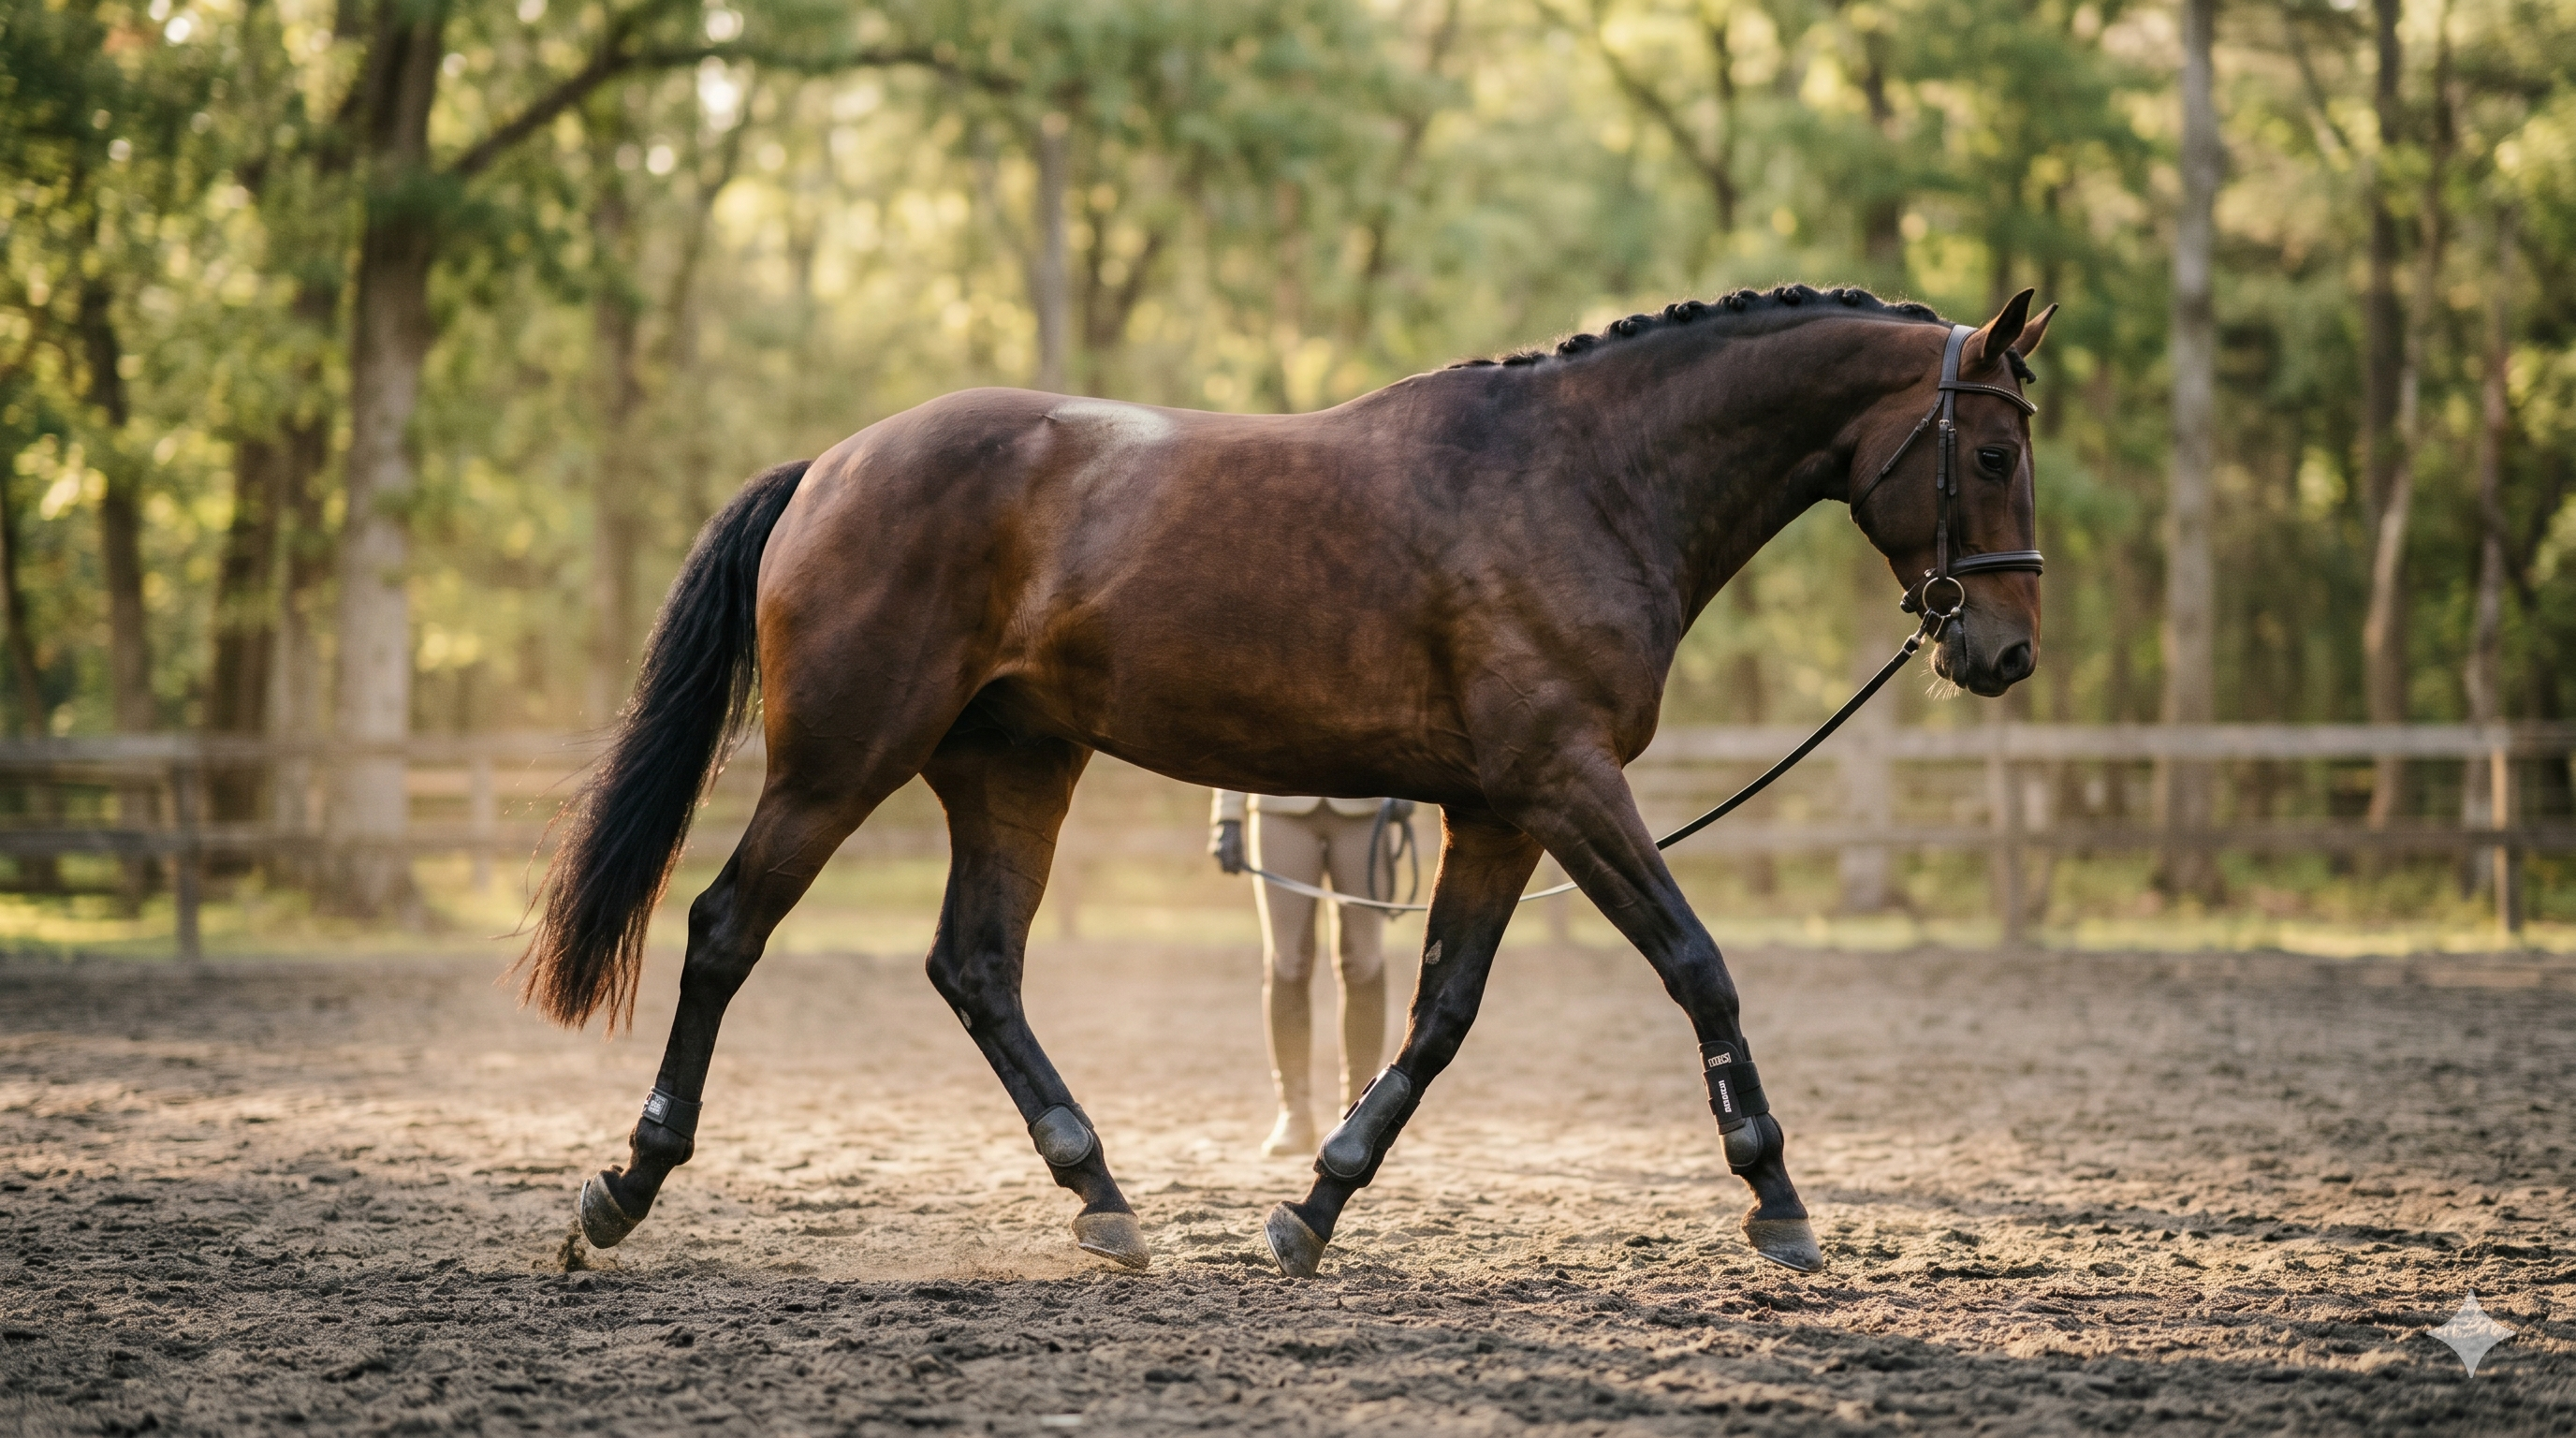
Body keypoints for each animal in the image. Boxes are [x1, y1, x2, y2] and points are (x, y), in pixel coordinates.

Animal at [518, 282, 2054, 1278]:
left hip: (1014, 771)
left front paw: (1315, 1208)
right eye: (1990, 450)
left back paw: (1102, 1195)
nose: (2007, 651)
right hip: (842, 766)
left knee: (977, 968)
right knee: (726, 931)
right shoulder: (1568, 789)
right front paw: (1777, 1198)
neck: (1584, 478)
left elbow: (1436, 1017)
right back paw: (625, 1186)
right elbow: (1698, 967)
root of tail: (832, 466)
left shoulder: (1497, 813)